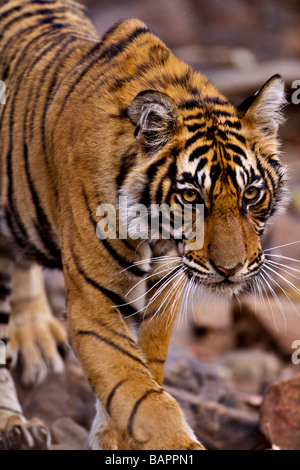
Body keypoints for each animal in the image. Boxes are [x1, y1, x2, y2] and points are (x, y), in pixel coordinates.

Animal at [0, 0, 288, 450]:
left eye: (251, 194)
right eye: (191, 197)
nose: (231, 270)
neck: (157, 235)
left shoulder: (165, 289)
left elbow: (142, 372)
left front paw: (112, 437)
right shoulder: (95, 301)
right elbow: (139, 393)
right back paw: (15, 423)